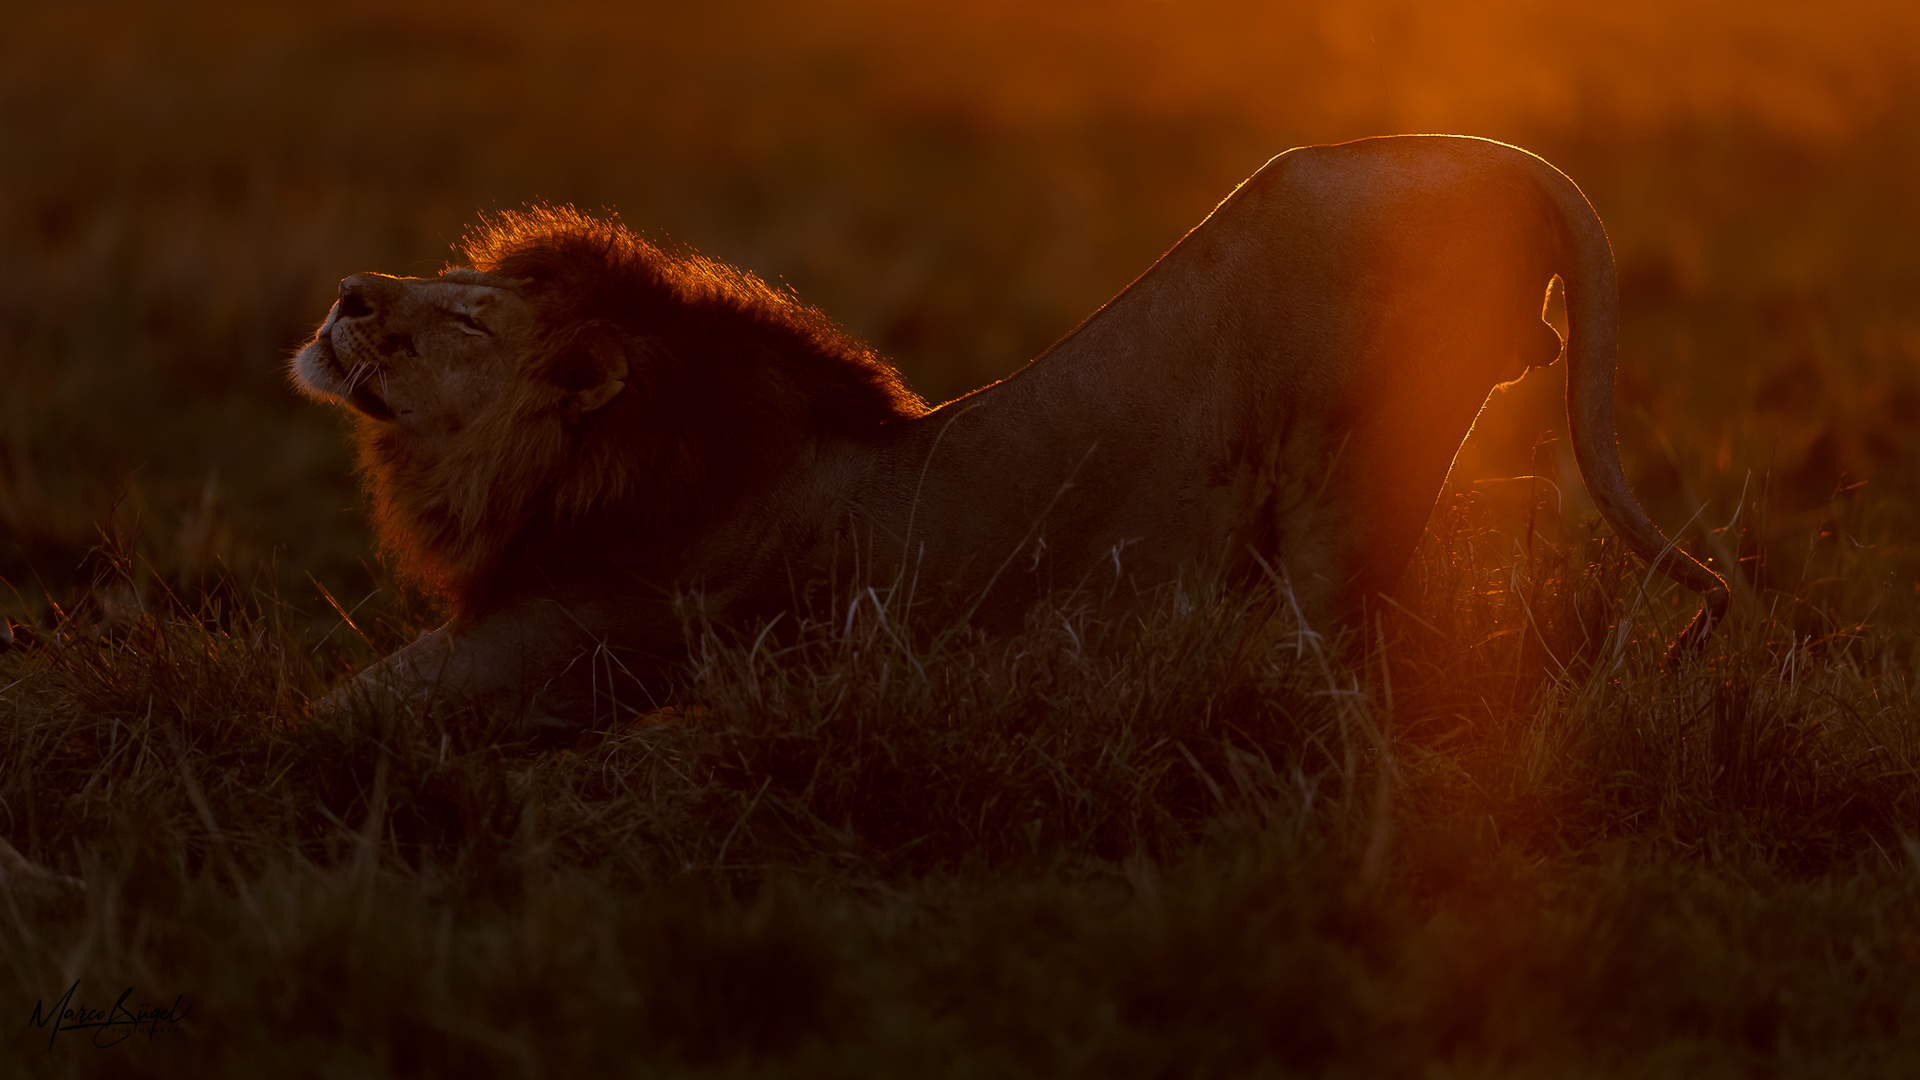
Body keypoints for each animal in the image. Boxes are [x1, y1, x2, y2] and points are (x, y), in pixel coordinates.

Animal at [291, 132, 1735, 722]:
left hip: (1349, 446)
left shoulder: (586, 633)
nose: (347, 294)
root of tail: (1500, 151)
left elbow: (324, 724)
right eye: (444, 278)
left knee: (1331, 645)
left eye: (461, 320)